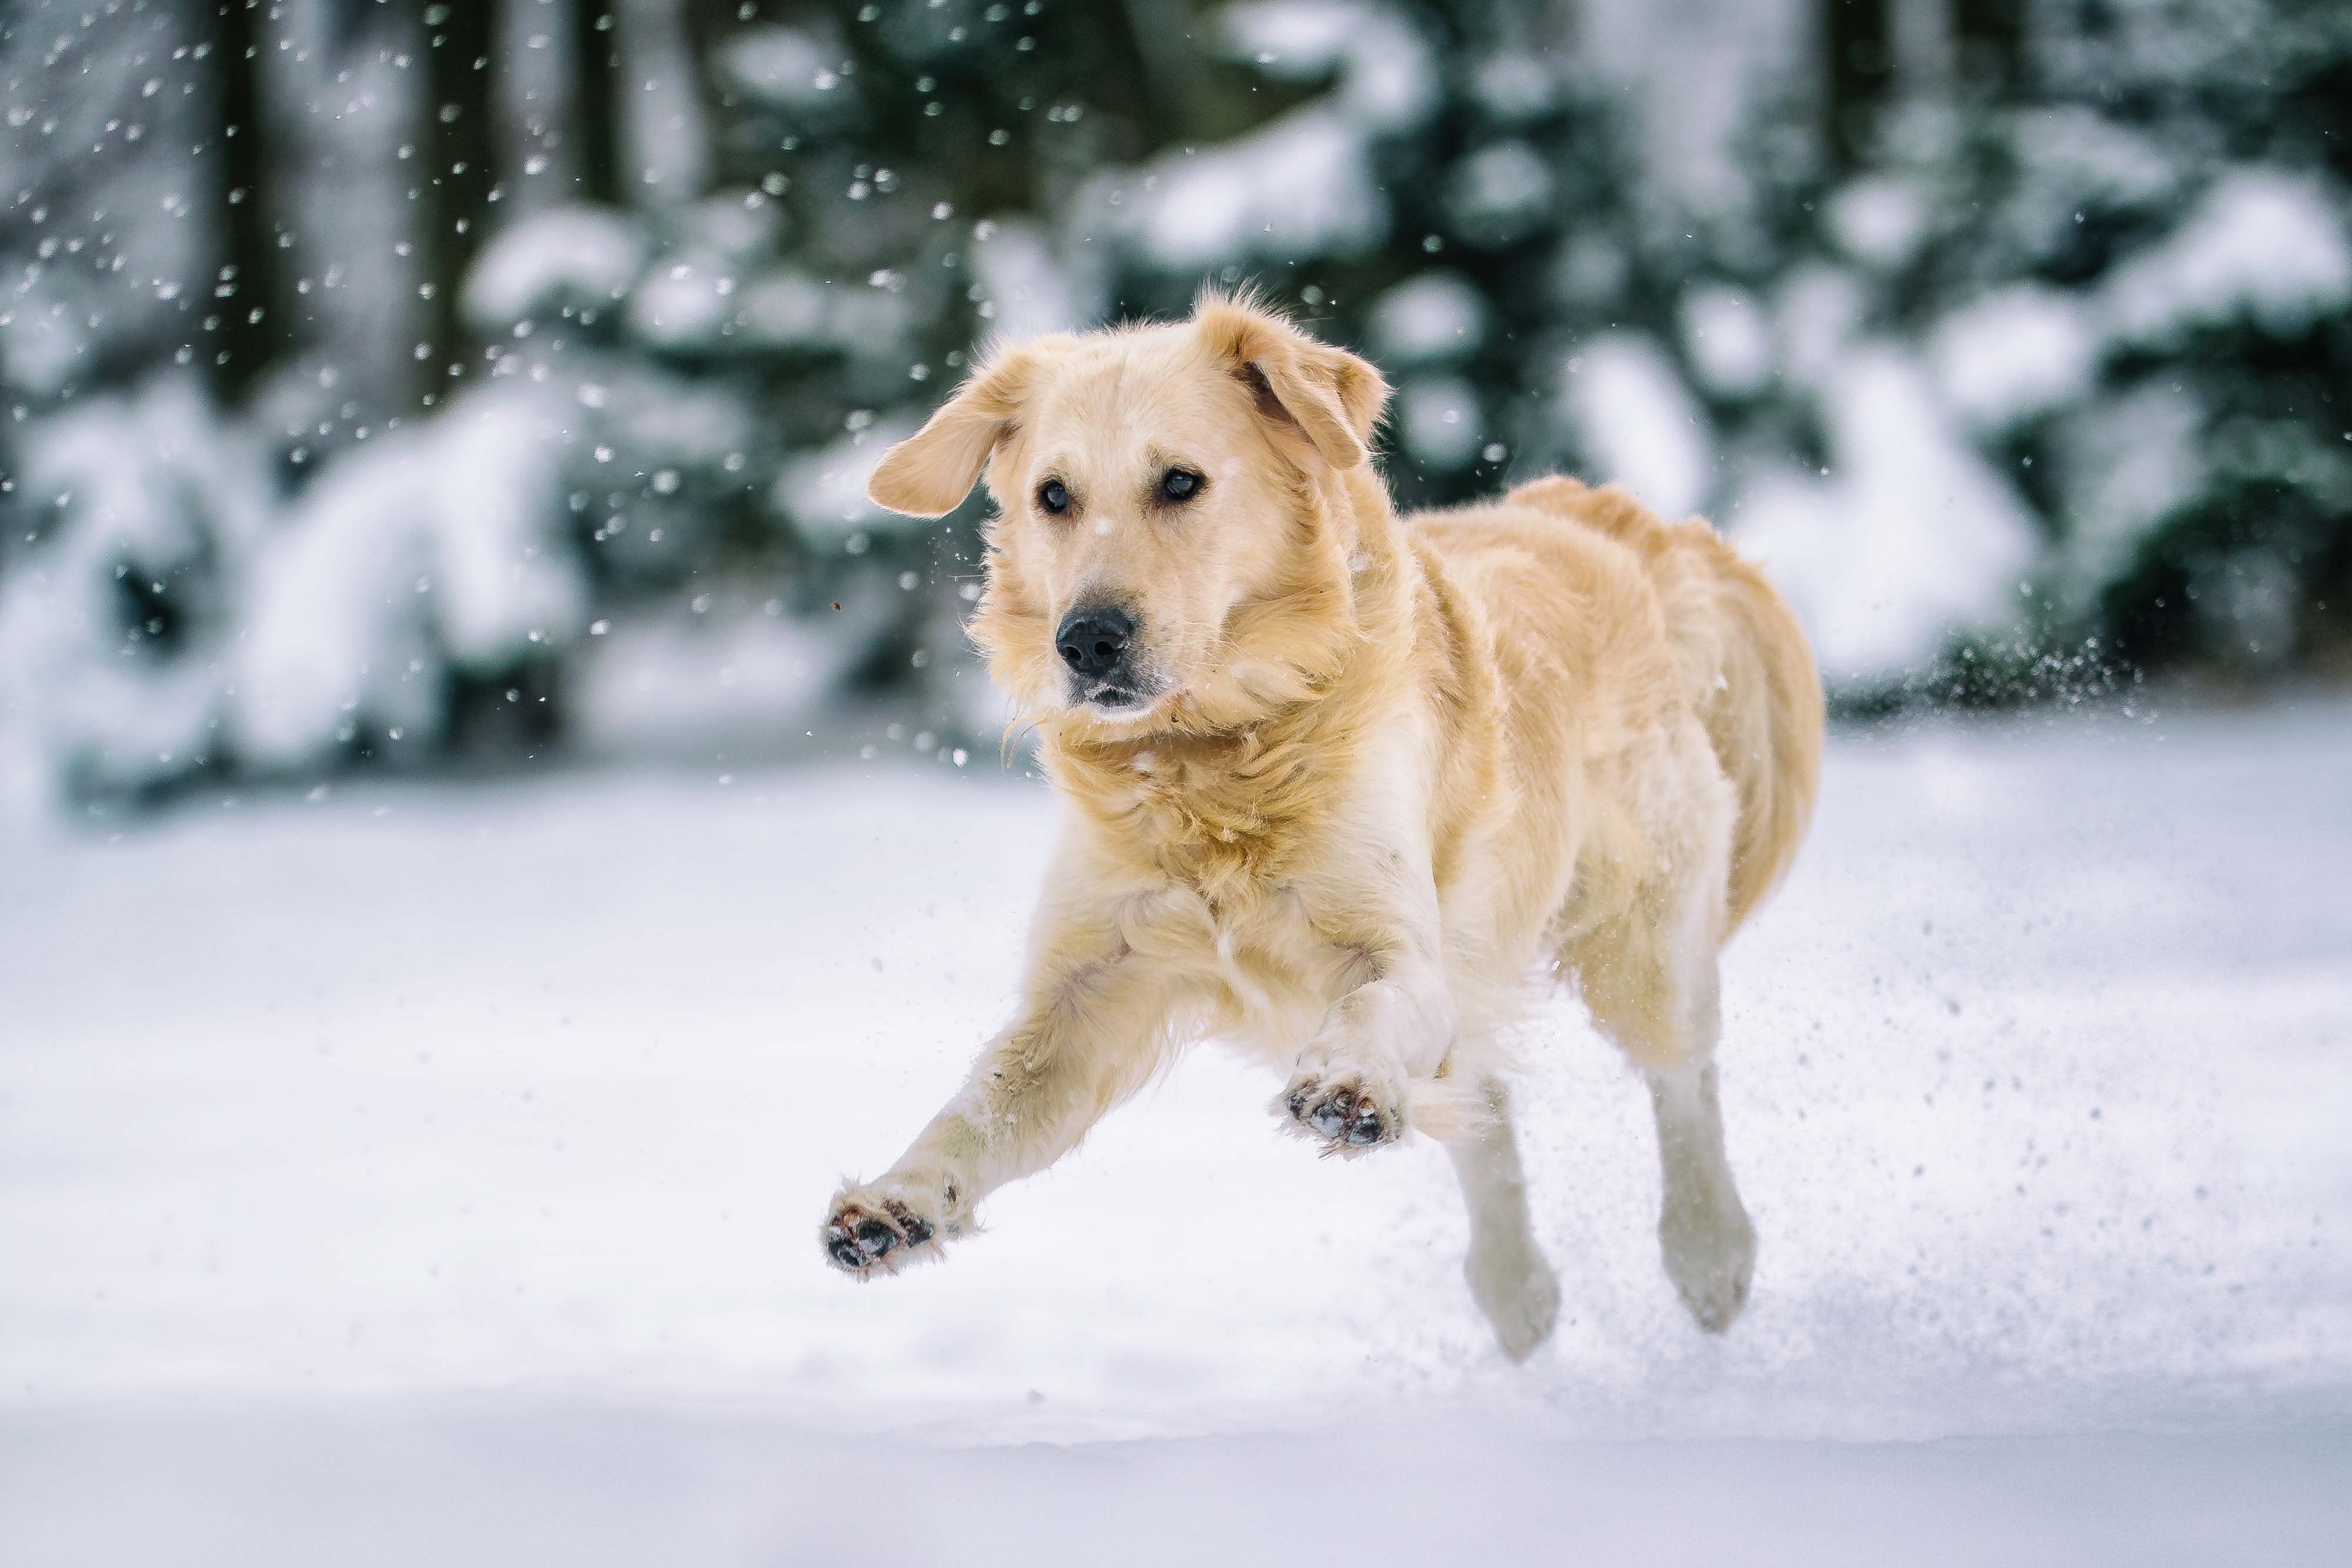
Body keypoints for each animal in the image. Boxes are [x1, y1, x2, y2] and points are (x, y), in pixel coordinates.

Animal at [818, 293, 1825, 1363]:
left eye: (1181, 481)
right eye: (1053, 496)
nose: (1087, 639)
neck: (1210, 759)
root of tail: (1610, 520)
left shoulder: (1401, 944)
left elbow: (1377, 1008)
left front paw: (1347, 1085)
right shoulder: (1088, 989)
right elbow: (981, 1107)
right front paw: (895, 1203)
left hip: (1644, 939)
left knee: (1682, 1080)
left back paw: (1708, 1252)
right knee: (1484, 1107)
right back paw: (1515, 1289)